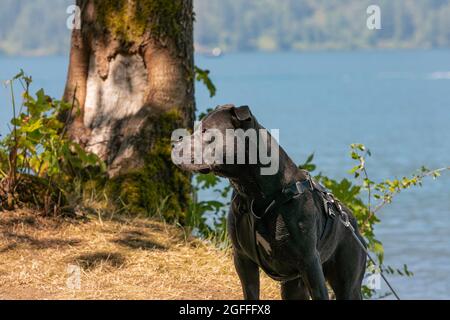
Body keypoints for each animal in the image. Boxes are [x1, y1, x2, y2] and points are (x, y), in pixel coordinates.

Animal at [171, 105, 366, 300]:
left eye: (206, 131)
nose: (174, 145)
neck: (254, 194)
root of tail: (352, 222)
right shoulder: (242, 258)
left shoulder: (310, 262)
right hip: (293, 286)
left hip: (348, 282)